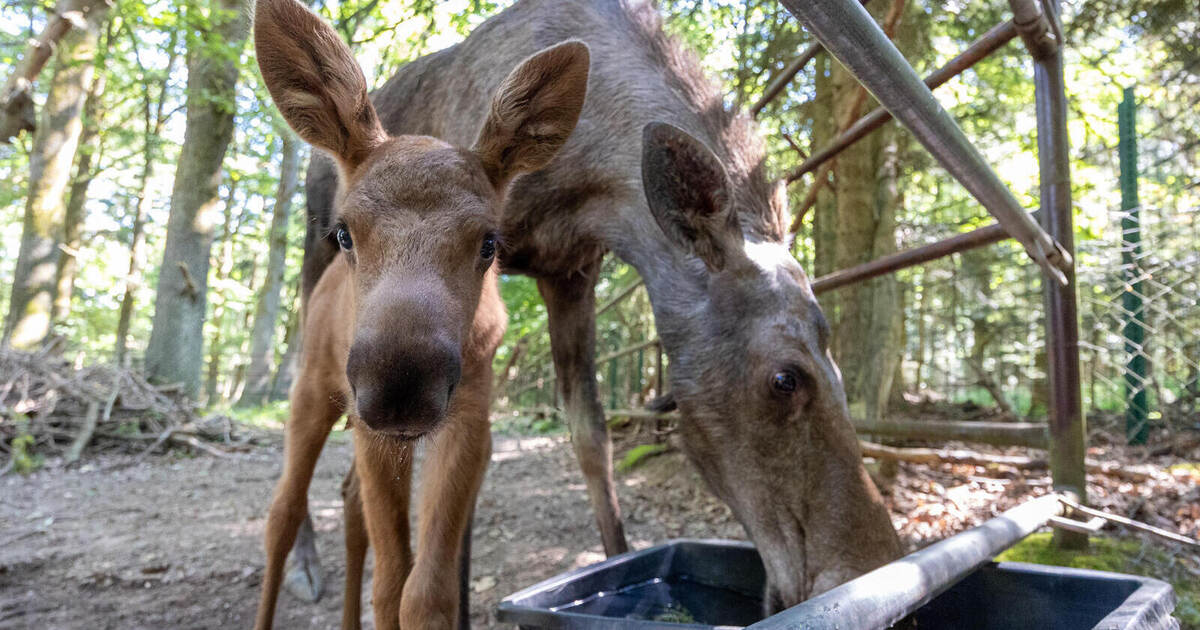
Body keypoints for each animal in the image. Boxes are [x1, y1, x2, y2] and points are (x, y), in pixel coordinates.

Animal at [249, 0, 589, 628]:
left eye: (489, 242)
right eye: (344, 232)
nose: (399, 387)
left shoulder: (470, 412)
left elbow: (426, 591)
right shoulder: (368, 420)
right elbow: (390, 586)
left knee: (348, 503)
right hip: (315, 386)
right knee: (282, 513)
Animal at [283, 0, 903, 618]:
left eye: (838, 367)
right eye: (785, 379)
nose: (869, 566)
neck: (587, 178)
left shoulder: (571, 273)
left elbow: (590, 435)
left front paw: (615, 561)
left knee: (355, 477)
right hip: (316, 255)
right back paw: (302, 563)